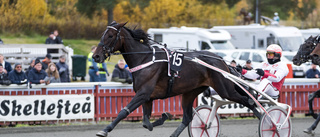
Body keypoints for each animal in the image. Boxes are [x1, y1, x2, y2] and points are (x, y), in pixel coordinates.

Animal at [92, 20, 258, 136]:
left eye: (110, 36)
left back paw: (263, 118)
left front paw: (105, 130)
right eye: (102, 35)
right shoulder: (147, 97)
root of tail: (221, 60)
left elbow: (123, 111)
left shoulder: (143, 93)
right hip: (190, 92)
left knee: (247, 100)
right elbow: (146, 122)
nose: (96, 56)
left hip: (225, 89)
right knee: (187, 118)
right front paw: (163, 117)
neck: (144, 59)